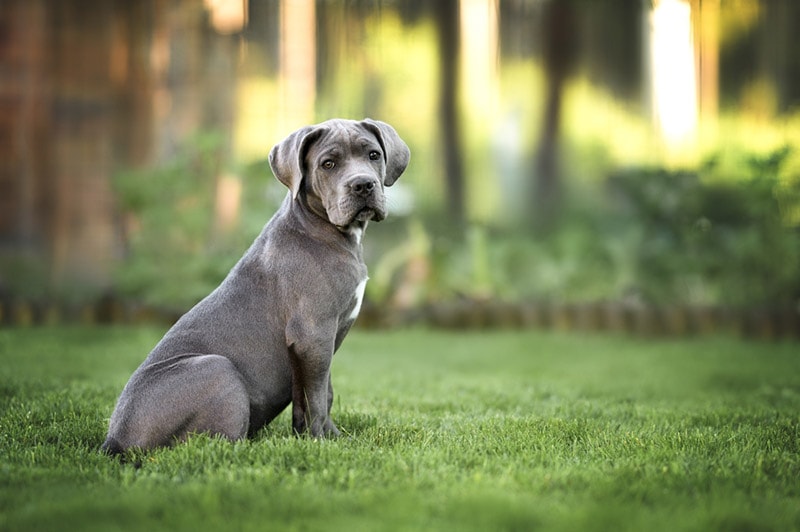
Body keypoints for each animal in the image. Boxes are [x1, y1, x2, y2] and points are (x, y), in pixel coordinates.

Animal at [102, 117, 410, 454]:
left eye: (373, 155)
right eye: (328, 164)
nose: (363, 185)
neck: (322, 228)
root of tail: (113, 439)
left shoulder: (319, 342)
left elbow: (320, 392)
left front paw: (327, 437)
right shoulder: (313, 332)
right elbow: (317, 397)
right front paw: (320, 444)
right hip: (217, 368)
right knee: (215, 443)